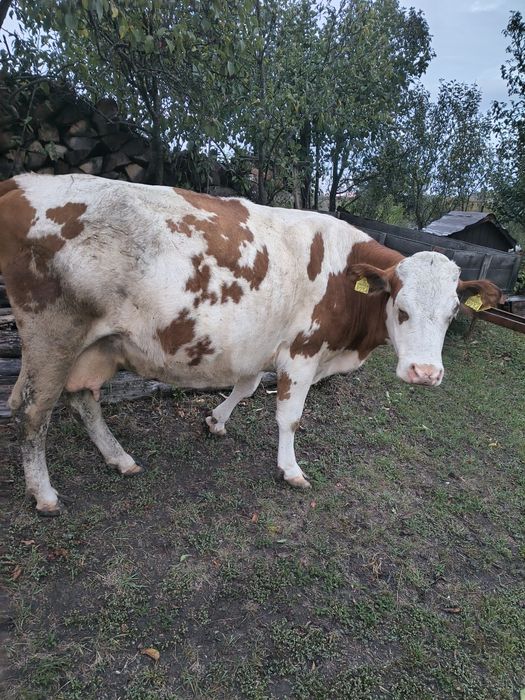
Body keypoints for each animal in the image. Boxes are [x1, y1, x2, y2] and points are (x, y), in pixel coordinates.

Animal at [0, 174, 501, 516]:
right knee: (33, 410)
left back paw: (119, 458)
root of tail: (22, 183)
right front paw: (290, 469)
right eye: (402, 309)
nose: (425, 373)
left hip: (96, 345)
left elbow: (245, 387)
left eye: (452, 314)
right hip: (52, 333)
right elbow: (289, 415)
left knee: (83, 397)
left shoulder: (261, 345)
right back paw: (44, 493)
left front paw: (215, 420)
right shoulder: (302, 351)